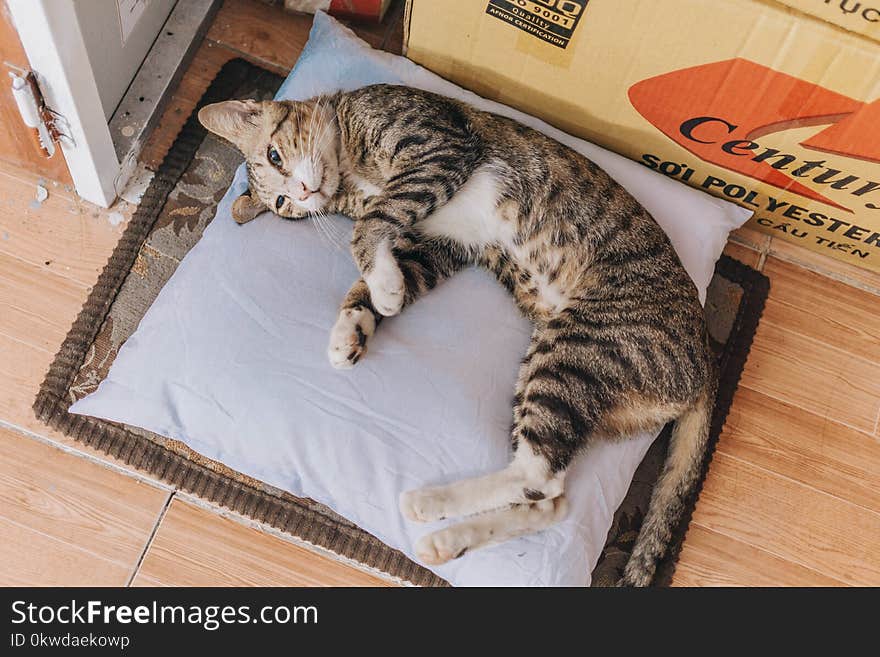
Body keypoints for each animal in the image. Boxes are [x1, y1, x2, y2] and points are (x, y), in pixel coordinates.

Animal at [198, 83, 716, 584]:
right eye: (281, 202)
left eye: (275, 156)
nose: (303, 193)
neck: (348, 171)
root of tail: (703, 365)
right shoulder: (438, 243)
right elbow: (380, 264)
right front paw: (353, 328)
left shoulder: (439, 146)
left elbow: (369, 227)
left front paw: (381, 290)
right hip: (551, 365)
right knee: (549, 497)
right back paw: (447, 538)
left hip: (577, 347)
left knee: (540, 476)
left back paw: (428, 504)